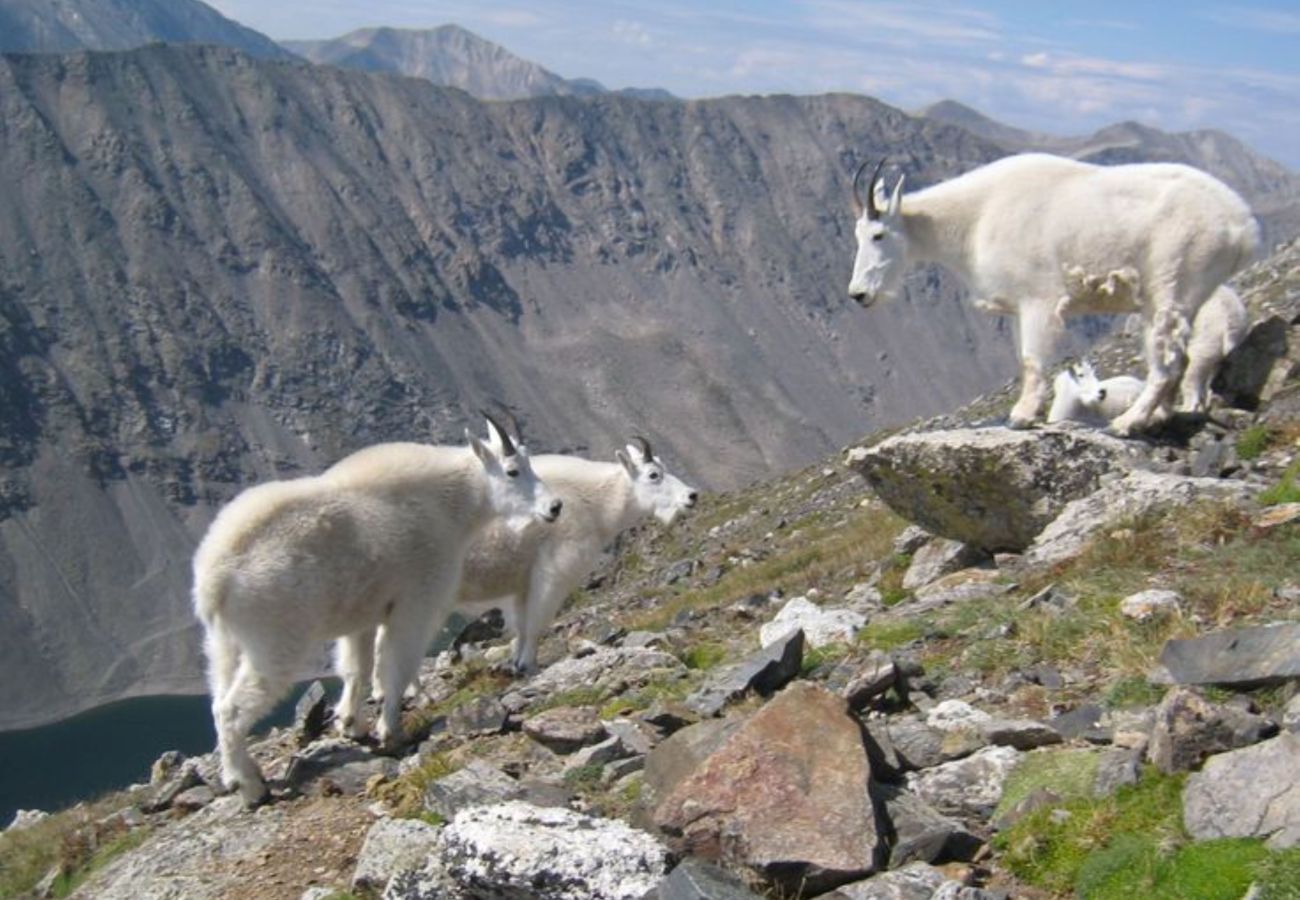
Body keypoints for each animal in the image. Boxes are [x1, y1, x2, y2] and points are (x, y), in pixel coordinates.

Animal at [192, 410, 559, 806]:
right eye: (512, 470)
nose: (554, 507)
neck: (451, 506)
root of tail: (215, 579)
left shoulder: (363, 617)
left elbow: (359, 668)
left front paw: (352, 725)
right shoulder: (416, 604)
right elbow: (395, 667)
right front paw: (390, 731)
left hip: (222, 645)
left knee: (218, 700)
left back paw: (239, 773)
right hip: (273, 641)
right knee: (230, 709)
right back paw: (250, 786)